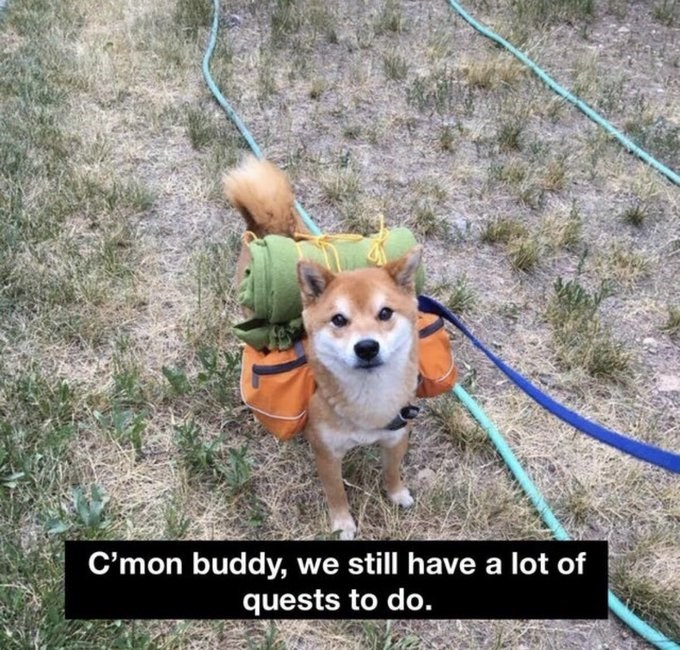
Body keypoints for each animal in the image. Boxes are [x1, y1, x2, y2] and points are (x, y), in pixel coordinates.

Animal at [224, 157, 421, 539]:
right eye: (339, 320)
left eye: (385, 313)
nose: (366, 347)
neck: (367, 406)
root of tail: (267, 230)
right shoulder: (327, 452)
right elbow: (336, 492)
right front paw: (343, 524)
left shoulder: (396, 436)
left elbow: (391, 471)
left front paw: (397, 494)